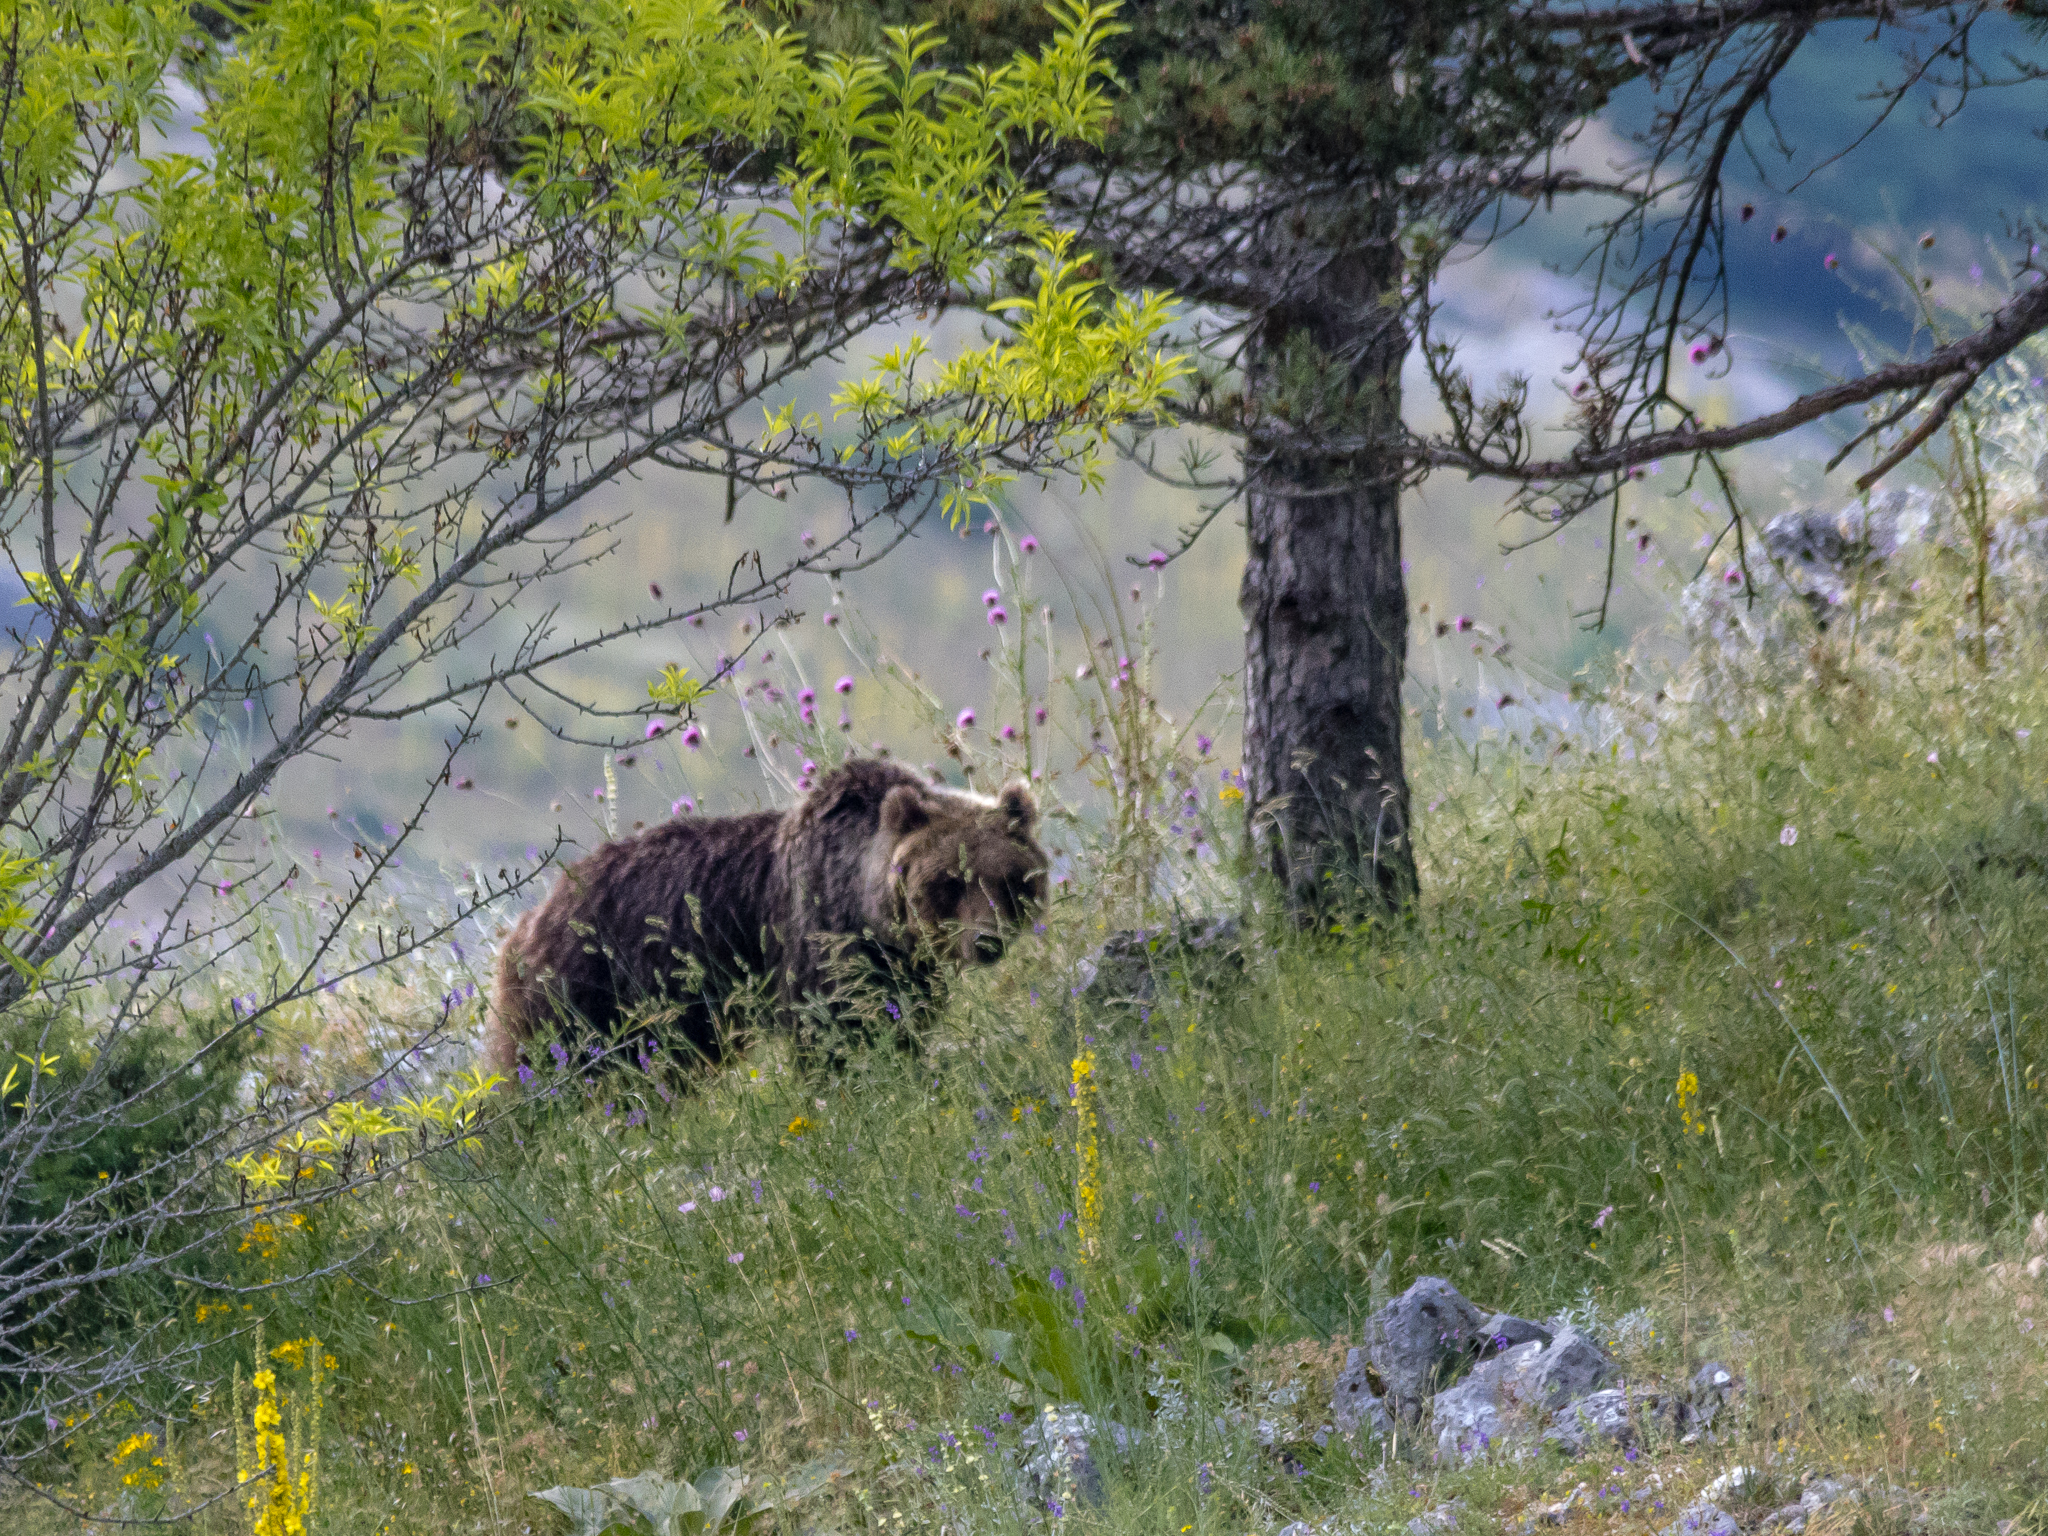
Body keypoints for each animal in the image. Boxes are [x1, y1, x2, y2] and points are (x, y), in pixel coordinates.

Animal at [486, 757, 1048, 1074]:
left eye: (1007, 879)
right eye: (949, 881)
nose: (987, 942)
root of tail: (531, 915)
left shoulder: (905, 973)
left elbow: (900, 1024)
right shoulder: (819, 943)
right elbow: (833, 1034)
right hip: (580, 995)